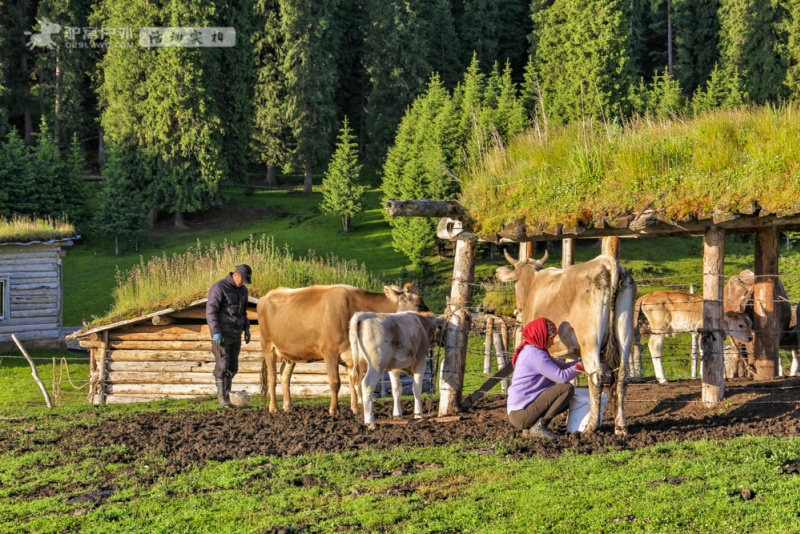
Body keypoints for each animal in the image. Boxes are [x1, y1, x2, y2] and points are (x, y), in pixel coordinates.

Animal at [260, 284, 428, 418]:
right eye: (419, 304)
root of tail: (266, 296)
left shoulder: (353, 355)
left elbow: (354, 382)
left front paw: (356, 408)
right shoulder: (330, 352)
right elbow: (335, 382)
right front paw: (334, 410)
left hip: (291, 353)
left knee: (285, 376)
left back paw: (288, 406)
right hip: (268, 346)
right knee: (272, 377)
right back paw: (273, 408)